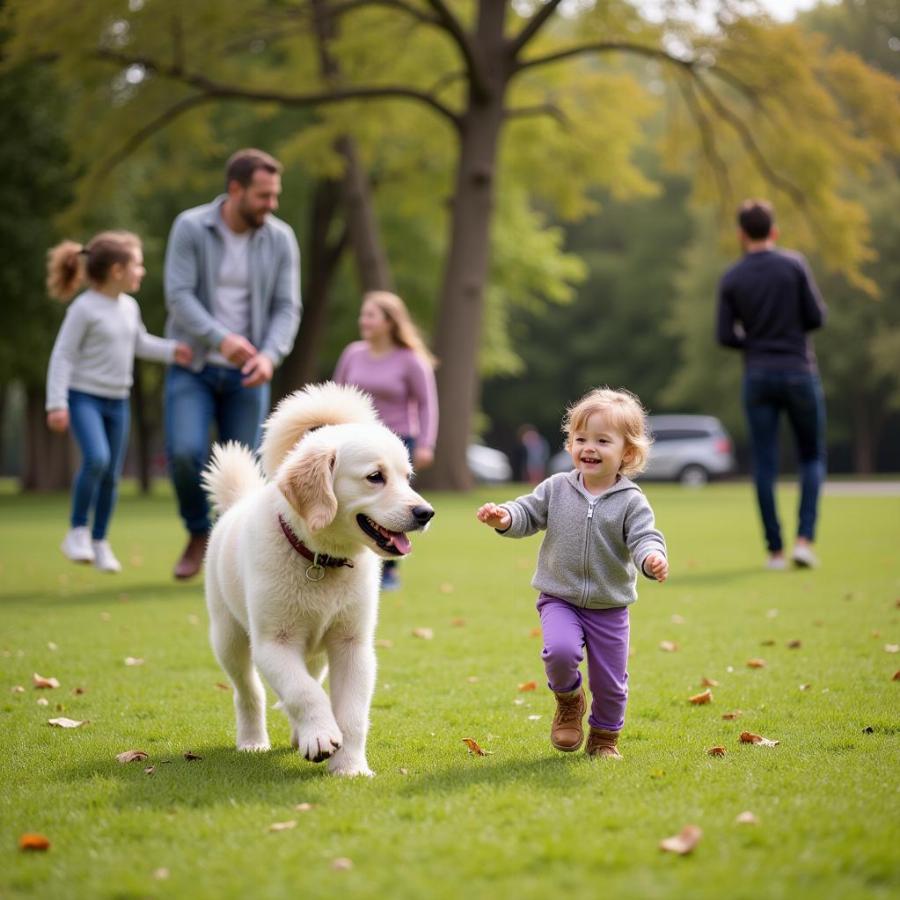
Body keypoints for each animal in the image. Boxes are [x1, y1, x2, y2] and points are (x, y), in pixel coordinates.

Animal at [202, 384, 434, 776]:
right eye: (375, 477)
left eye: (407, 477)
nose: (425, 513)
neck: (321, 560)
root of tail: (238, 501)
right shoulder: (274, 643)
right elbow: (302, 692)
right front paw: (322, 737)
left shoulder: (352, 644)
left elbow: (351, 713)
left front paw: (350, 766)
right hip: (228, 637)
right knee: (249, 691)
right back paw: (252, 740)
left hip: (316, 651)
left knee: (308, 678)